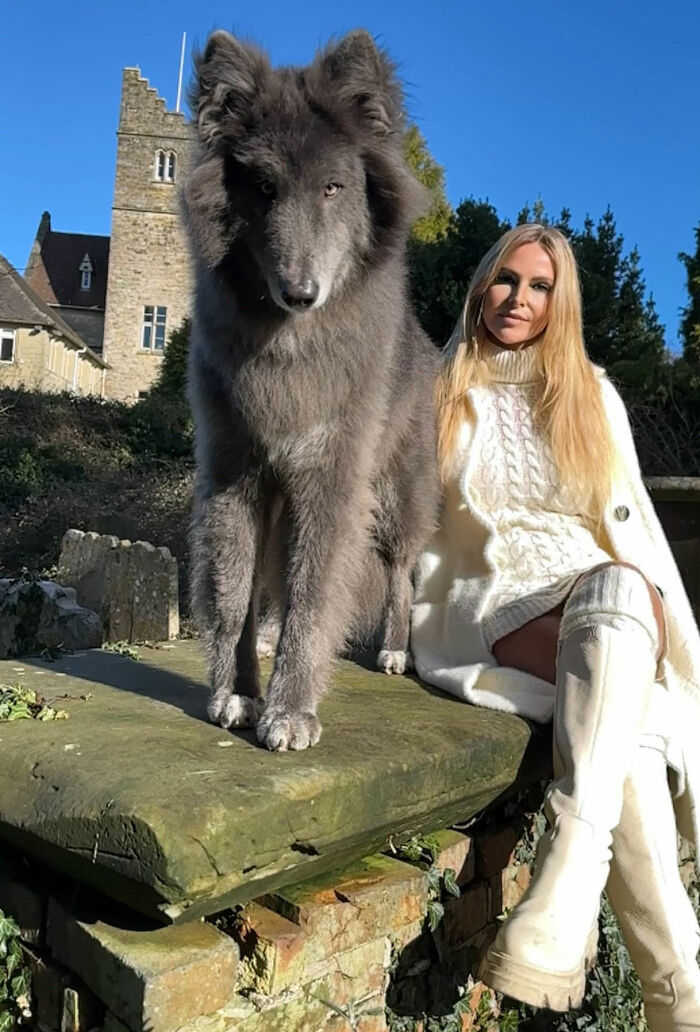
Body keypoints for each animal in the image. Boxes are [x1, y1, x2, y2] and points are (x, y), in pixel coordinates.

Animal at [183, 29, 440, 751]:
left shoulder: (331, 479)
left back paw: (394, 649)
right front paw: (239, 692)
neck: (287, 347)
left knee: (402, 573)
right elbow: (234, 593)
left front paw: (290, 709)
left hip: (396, 496)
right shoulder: (237, 476)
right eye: (264, 188)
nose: (300, 292)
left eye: (333, 187)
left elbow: (315, 593)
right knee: (273, 577)